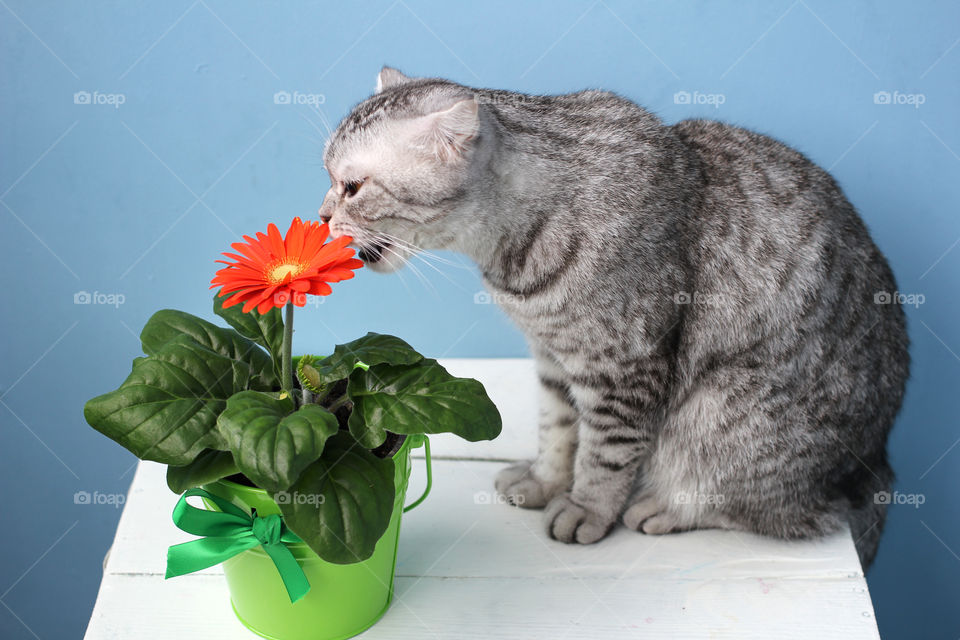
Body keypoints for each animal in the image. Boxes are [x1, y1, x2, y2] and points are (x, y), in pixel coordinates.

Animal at [320, 65, 908, 568]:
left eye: (352, 186)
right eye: (328, 176)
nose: (323, 215)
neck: (511, 255)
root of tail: (878, 457)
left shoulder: (623, 367)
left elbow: (604, 454)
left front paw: (586, 508)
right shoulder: (552, 359)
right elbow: (557, 430)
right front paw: (546, 481)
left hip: (722, 410)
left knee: (774, 509)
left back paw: (668, 506)